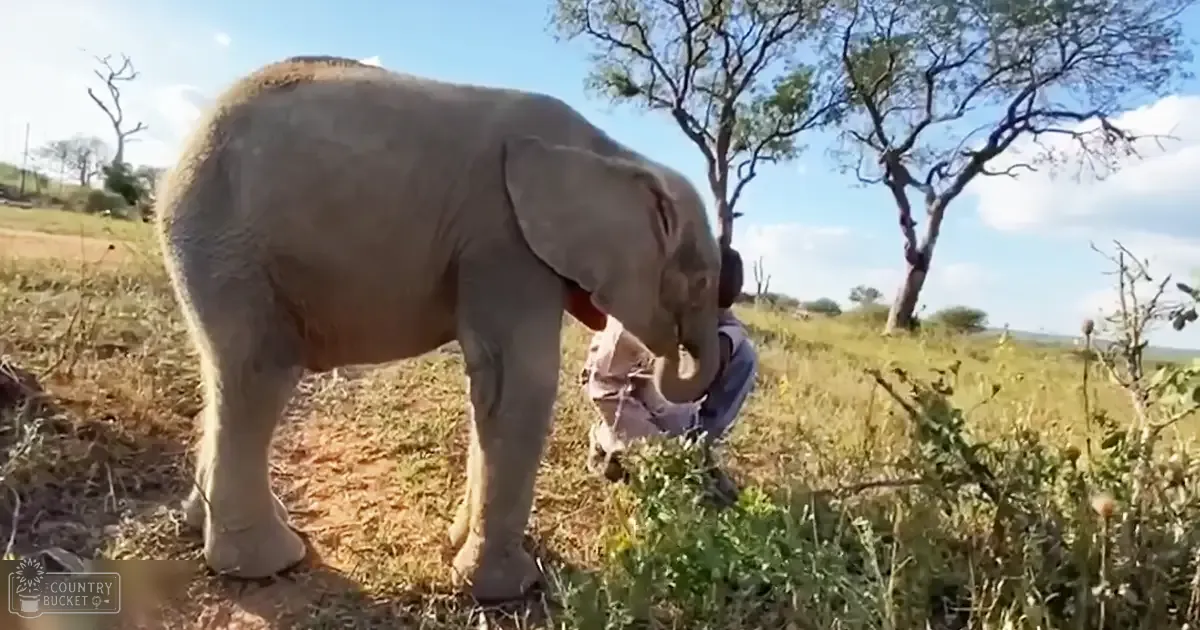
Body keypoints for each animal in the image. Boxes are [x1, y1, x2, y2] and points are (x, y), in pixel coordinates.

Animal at [155, 55, 723, 602]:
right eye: (698, 281)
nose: (662, 359)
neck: (616, 154)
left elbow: (491, 387)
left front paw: (459, 546)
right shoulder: (503, 238)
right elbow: (521, 382)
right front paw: (509, 589)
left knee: (226, 375)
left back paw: (203, 528)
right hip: (232, 248)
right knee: (260, 374)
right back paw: (270, 563)